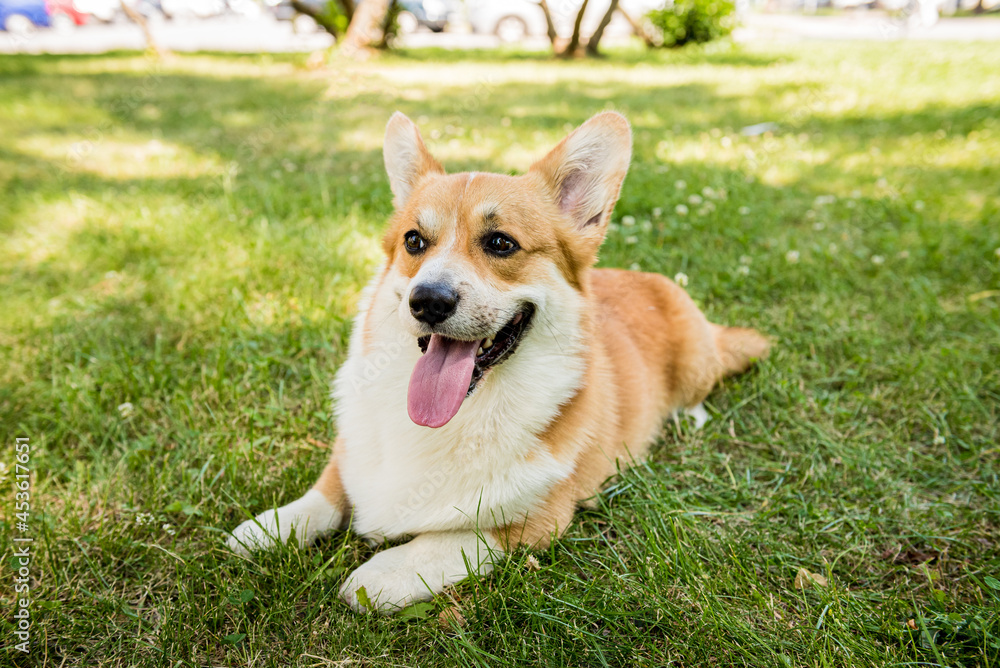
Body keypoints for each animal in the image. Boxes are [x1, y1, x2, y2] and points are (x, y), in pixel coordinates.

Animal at [229, 112, 772, 612]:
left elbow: (449, 540)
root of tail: (653, 278)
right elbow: (325, 493)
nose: (428, 301)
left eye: (500, 243)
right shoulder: (351, 457)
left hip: (698, 364)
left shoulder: (535, 520)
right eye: (413, 241)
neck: (457, 418)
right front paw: (268, 528)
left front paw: (379, 574)